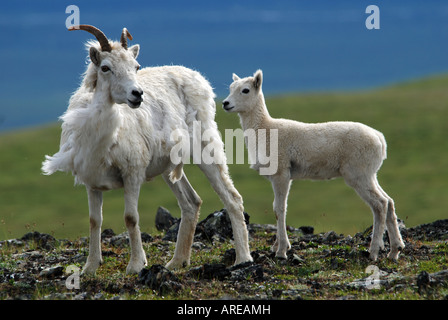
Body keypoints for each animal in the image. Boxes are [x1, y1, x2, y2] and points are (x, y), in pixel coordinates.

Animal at [41, 25, 252, 276]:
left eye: (136, 66)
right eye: (105, 68)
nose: (137, 94)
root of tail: (199, 79)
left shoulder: (132, 174)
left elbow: (131, 218)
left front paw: (135, 265)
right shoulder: (91, 182)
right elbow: (94, 221)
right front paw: (90, 267)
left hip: (206, 150)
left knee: (233, 199)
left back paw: (242, 259)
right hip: (168, 169)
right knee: (191, 203)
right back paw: (177, 262)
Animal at [222, 69, 404, 260]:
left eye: (246, 90)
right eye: (231, 87)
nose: (225, 103)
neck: (264, 131)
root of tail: (379, 139)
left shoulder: (282, 176)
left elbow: (279, 209)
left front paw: (281, 252)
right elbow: (276, 210)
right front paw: (277, 247)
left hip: (358, 177)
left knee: (380, 204)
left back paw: (374, 252)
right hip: (370, 176)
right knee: (389, 202)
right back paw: (395, 251)